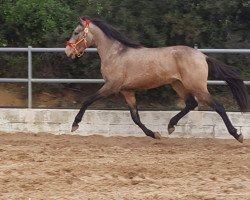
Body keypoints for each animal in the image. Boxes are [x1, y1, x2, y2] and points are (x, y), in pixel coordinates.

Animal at [65, 16, 248, 142]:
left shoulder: (111, 86)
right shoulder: (127, 91)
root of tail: (202, 55)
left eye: (75, 32)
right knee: (191, 104)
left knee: (218, 106)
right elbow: (135, 117)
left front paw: (75, 124)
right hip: (178, 85)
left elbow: (87, 101)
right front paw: (154, 134)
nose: (68, 51)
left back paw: (237, 135)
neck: (115, 54)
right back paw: (170, 126)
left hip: (197, 87)